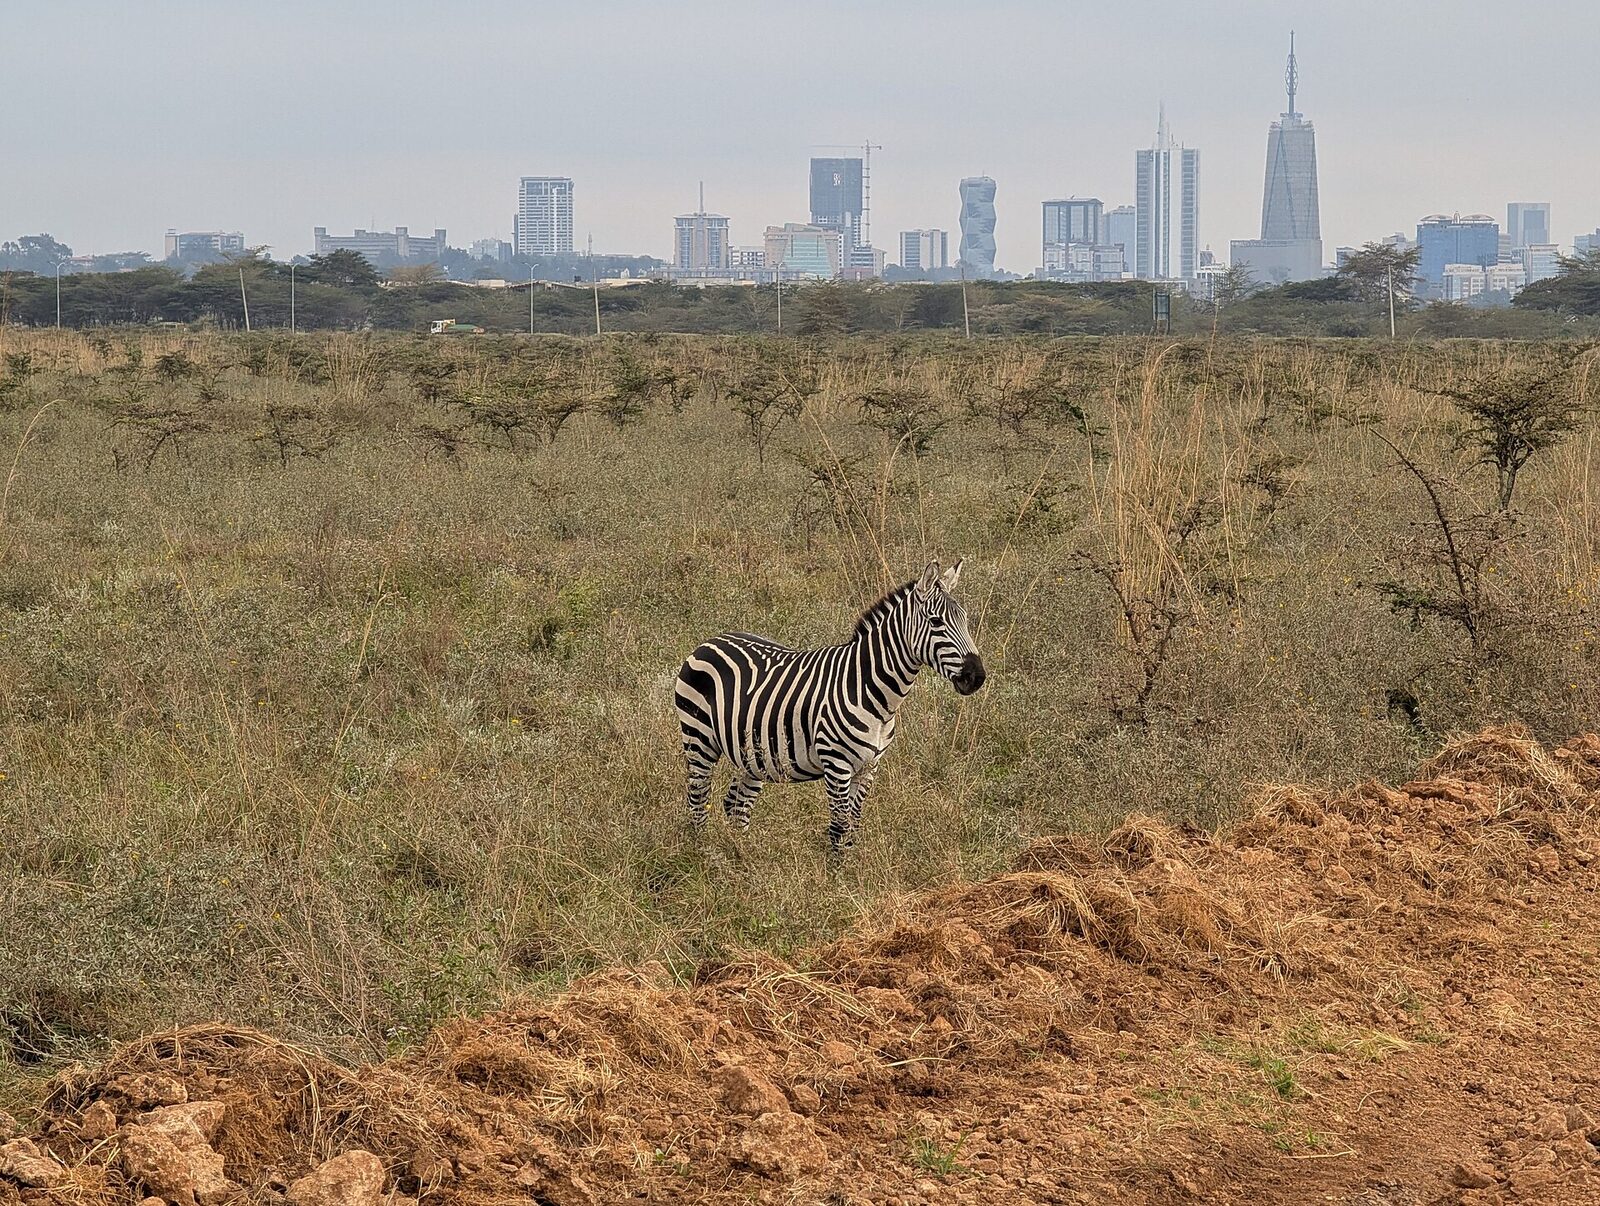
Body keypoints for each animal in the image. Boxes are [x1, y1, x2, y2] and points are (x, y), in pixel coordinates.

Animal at [674, 560, 986, 851]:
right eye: (936, 622)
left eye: (965, 620)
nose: (977, 677)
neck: (871, 691)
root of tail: (710, 641)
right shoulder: (837, 764)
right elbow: (839, 826)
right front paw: (837, 872)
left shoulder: (869, 768)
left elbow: (854, 825)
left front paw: (852, 869)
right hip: (699, 739)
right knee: (698, 800)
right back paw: (705, 855)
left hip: (753, 754)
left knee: (736, 804)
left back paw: (743, 857)